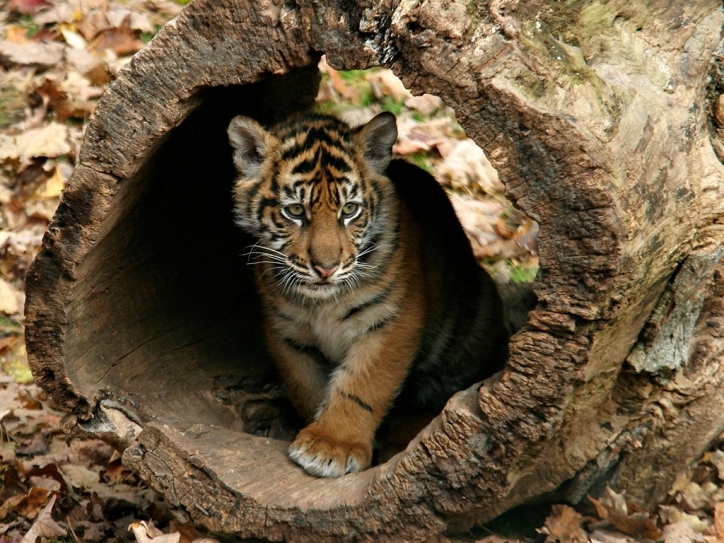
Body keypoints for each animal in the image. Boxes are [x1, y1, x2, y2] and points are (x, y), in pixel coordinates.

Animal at [228, 111, 509, 478]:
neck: (323, 303)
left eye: (349, 210)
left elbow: (362, 386)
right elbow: (306, 386)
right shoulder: (286, 329)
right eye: (295, 211)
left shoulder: (392, 321)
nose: (326, 268)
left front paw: (333, 445)